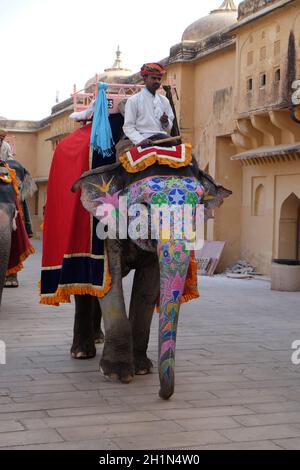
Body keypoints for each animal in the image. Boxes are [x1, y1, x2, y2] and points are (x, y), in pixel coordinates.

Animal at [73, 155, 232, 400]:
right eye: (144, 205)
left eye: (197, 206)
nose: (162, 394)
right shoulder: (105, 226)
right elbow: (111, 280)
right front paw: (117, 374)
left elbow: (148, 287)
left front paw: (142, 368)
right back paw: (82, 352)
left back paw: (98, 338)